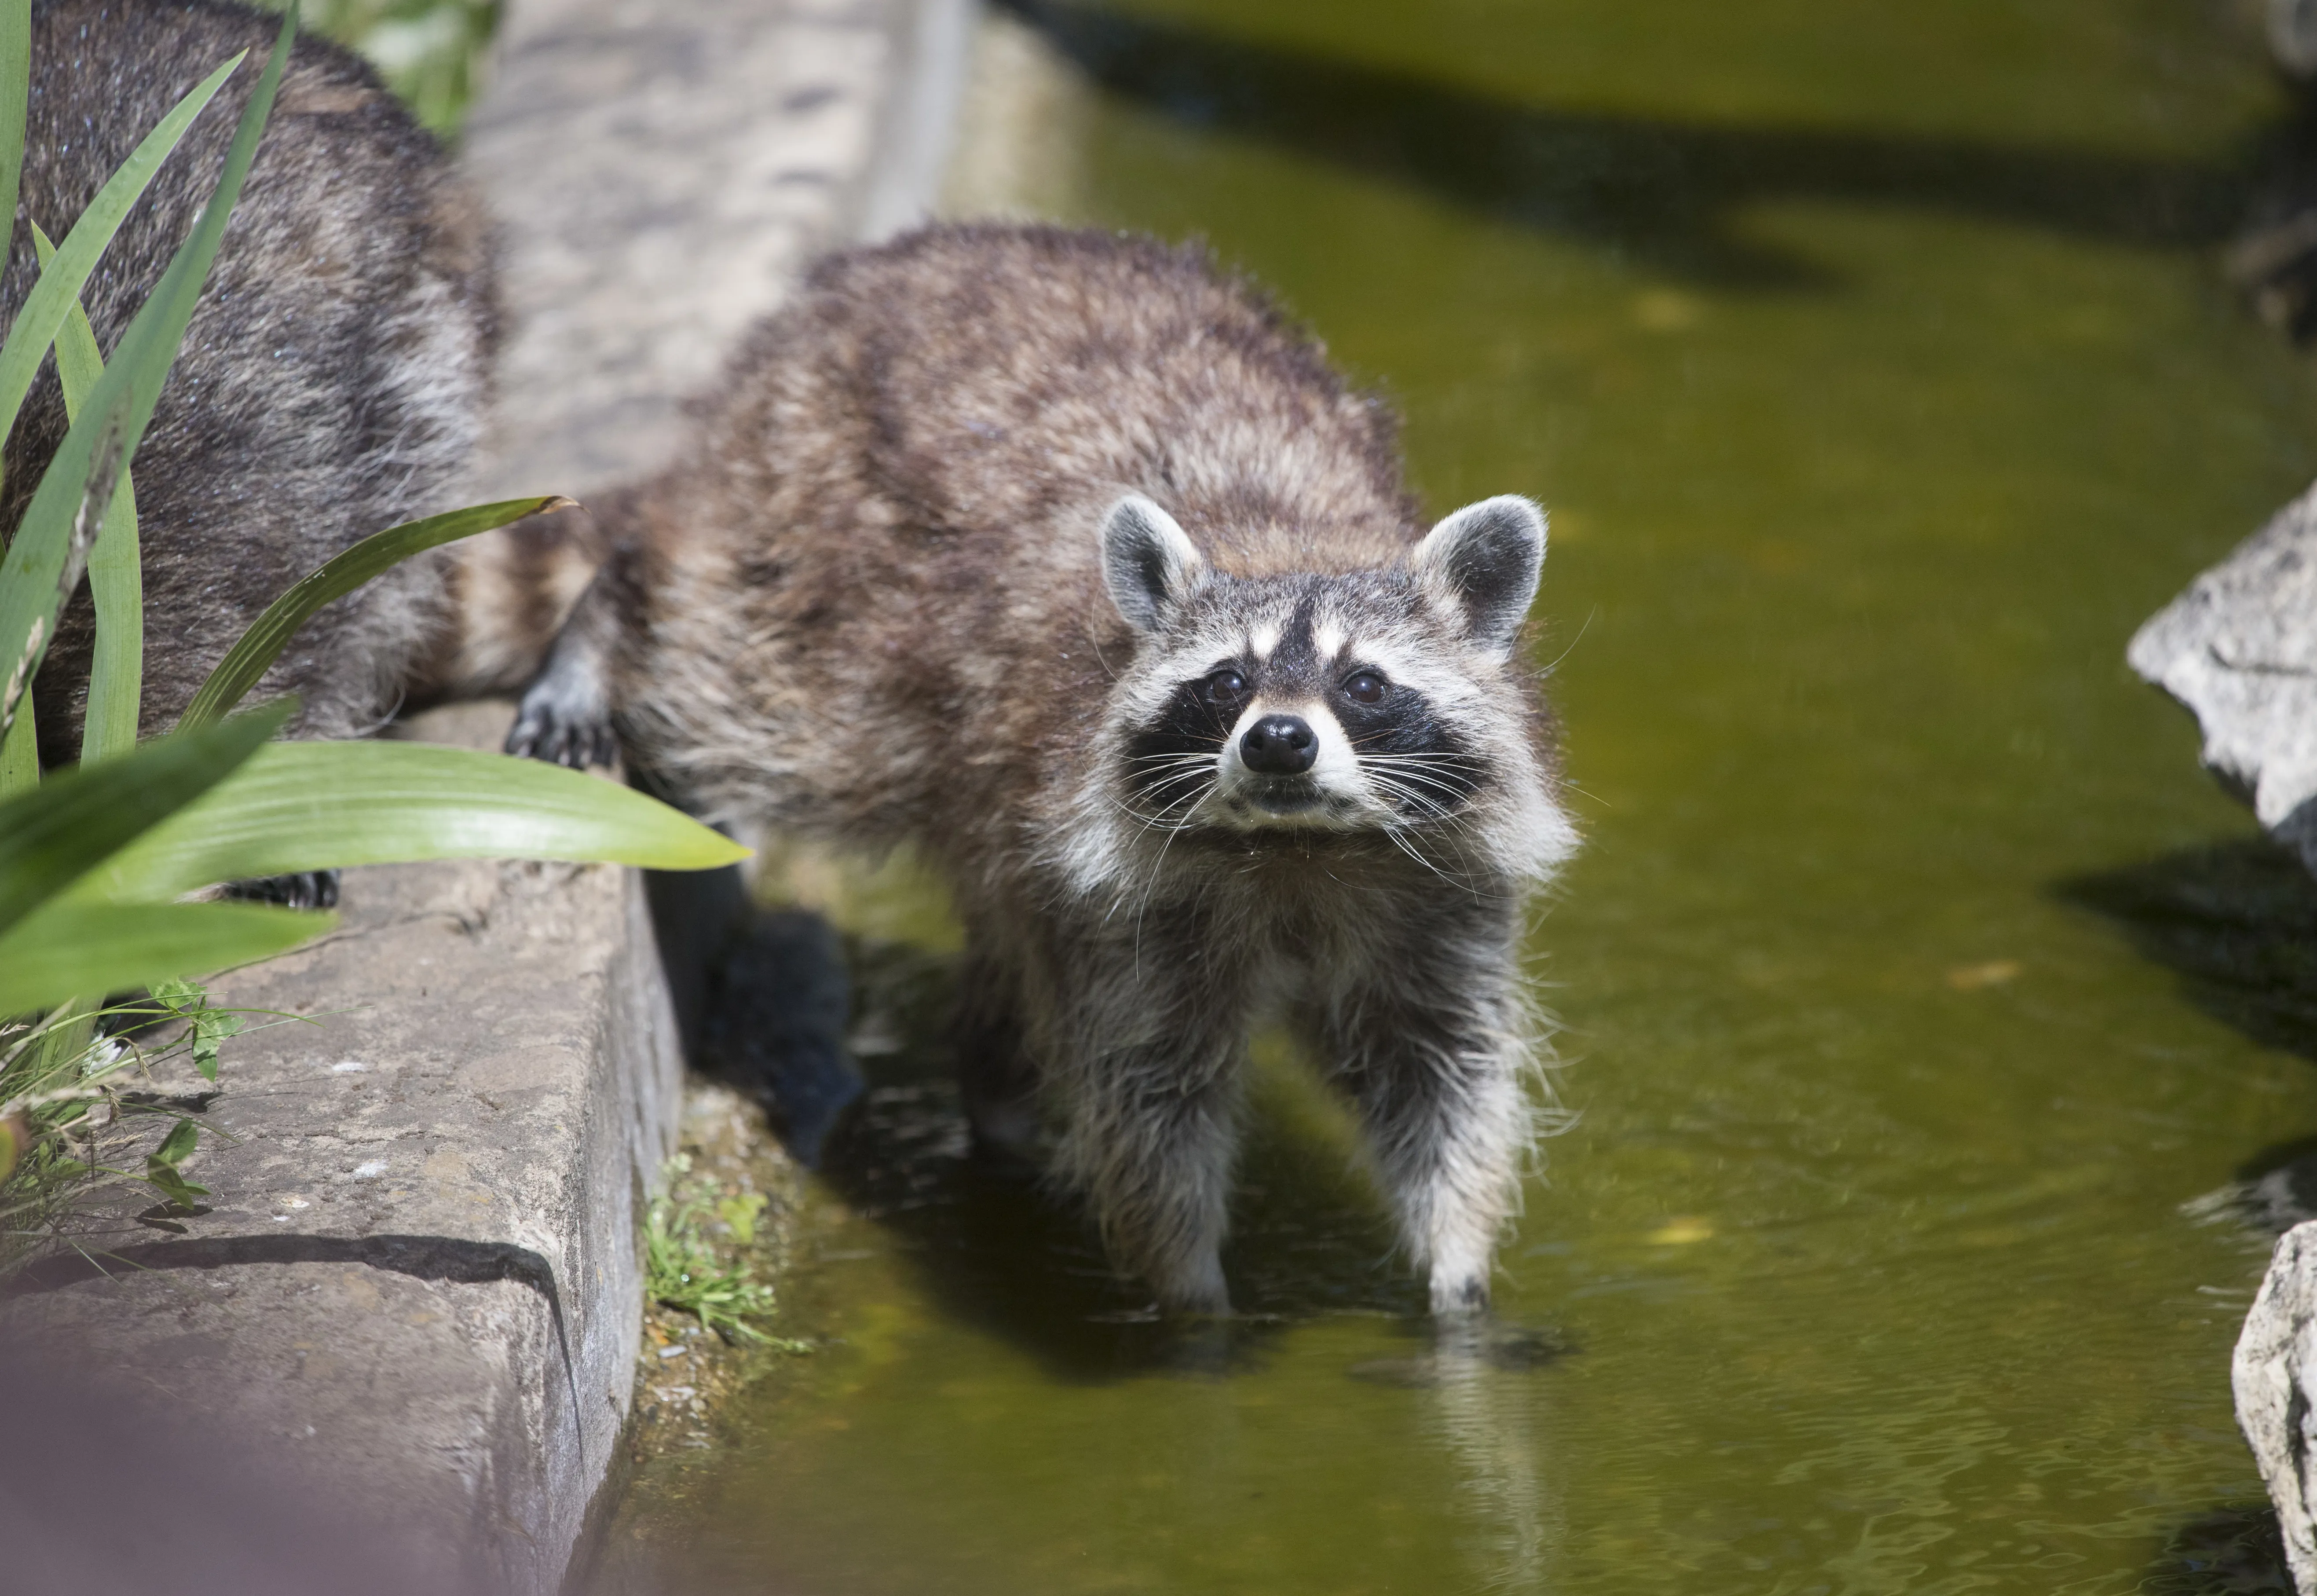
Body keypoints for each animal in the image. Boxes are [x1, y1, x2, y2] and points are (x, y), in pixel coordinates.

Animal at [487, 227, 1575, 1315]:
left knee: (1009, 979)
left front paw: (1457, 1280)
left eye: (1362, 683)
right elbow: (1150, 1099)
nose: (1276, 740)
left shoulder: (1432, 900)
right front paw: (1193, 1301)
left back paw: (996, 1108)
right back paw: (610, 616)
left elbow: (1436, 1078)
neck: (1294, 850)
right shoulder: (1129, 913)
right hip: (824, 578)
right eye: (1226, 683)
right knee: (732, 672)